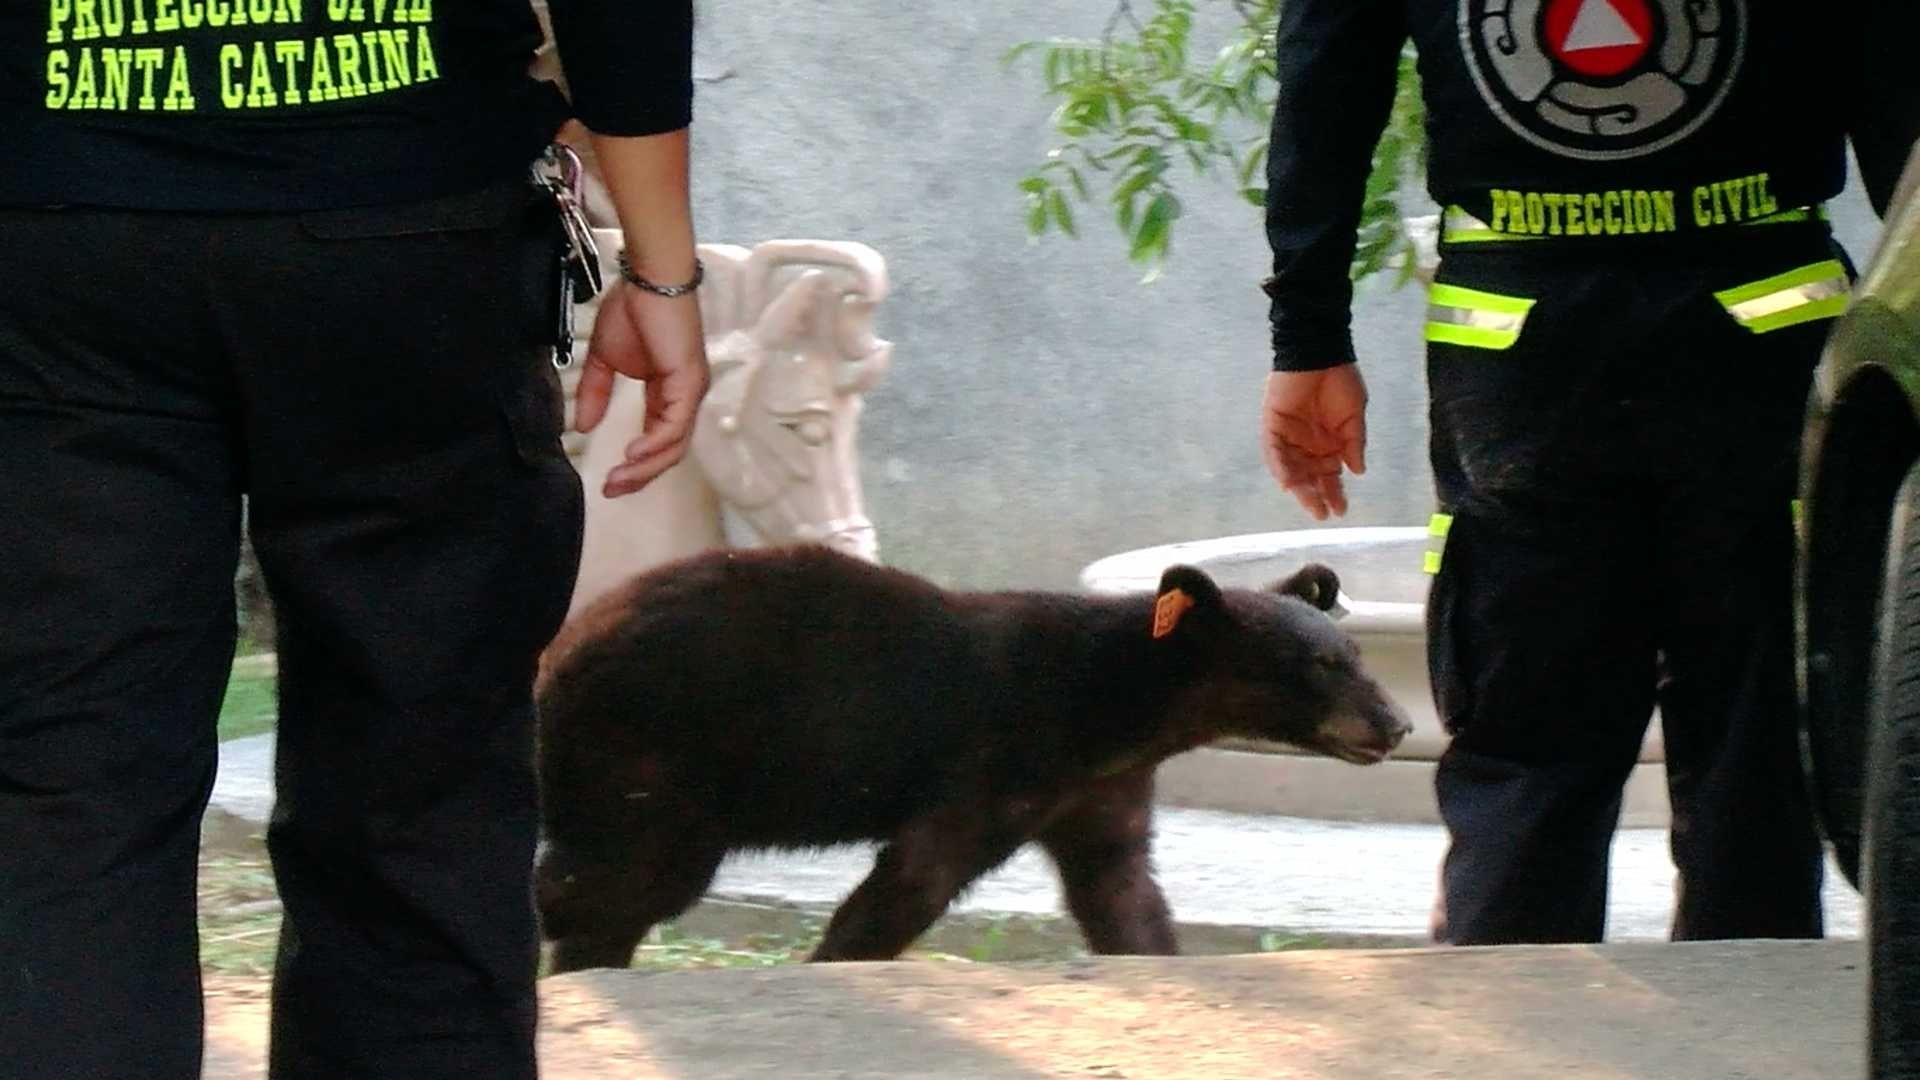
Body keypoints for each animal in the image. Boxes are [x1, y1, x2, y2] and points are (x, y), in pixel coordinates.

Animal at [531, 543, 1412, 972]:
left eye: (1353, 655)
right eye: (1321, 665)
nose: (1398, 723)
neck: (1112, 706)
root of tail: (558, 655)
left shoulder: (1100, 788)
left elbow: (1121, 891)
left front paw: (1157, 955)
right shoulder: (1003, 754)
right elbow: (918, 876)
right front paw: (839, 955)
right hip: (655, 758)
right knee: (612, 882)